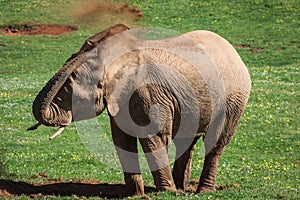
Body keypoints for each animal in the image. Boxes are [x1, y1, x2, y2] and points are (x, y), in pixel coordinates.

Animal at [29, 23, 252, 195]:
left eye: (74, 95)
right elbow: (122, 140)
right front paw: (136, 195)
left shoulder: (150, 94)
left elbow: (155, 136)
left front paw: (166, 193)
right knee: (186, 141)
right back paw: (182, 189)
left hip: (234, 98)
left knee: (216, 142)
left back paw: (201, 191)